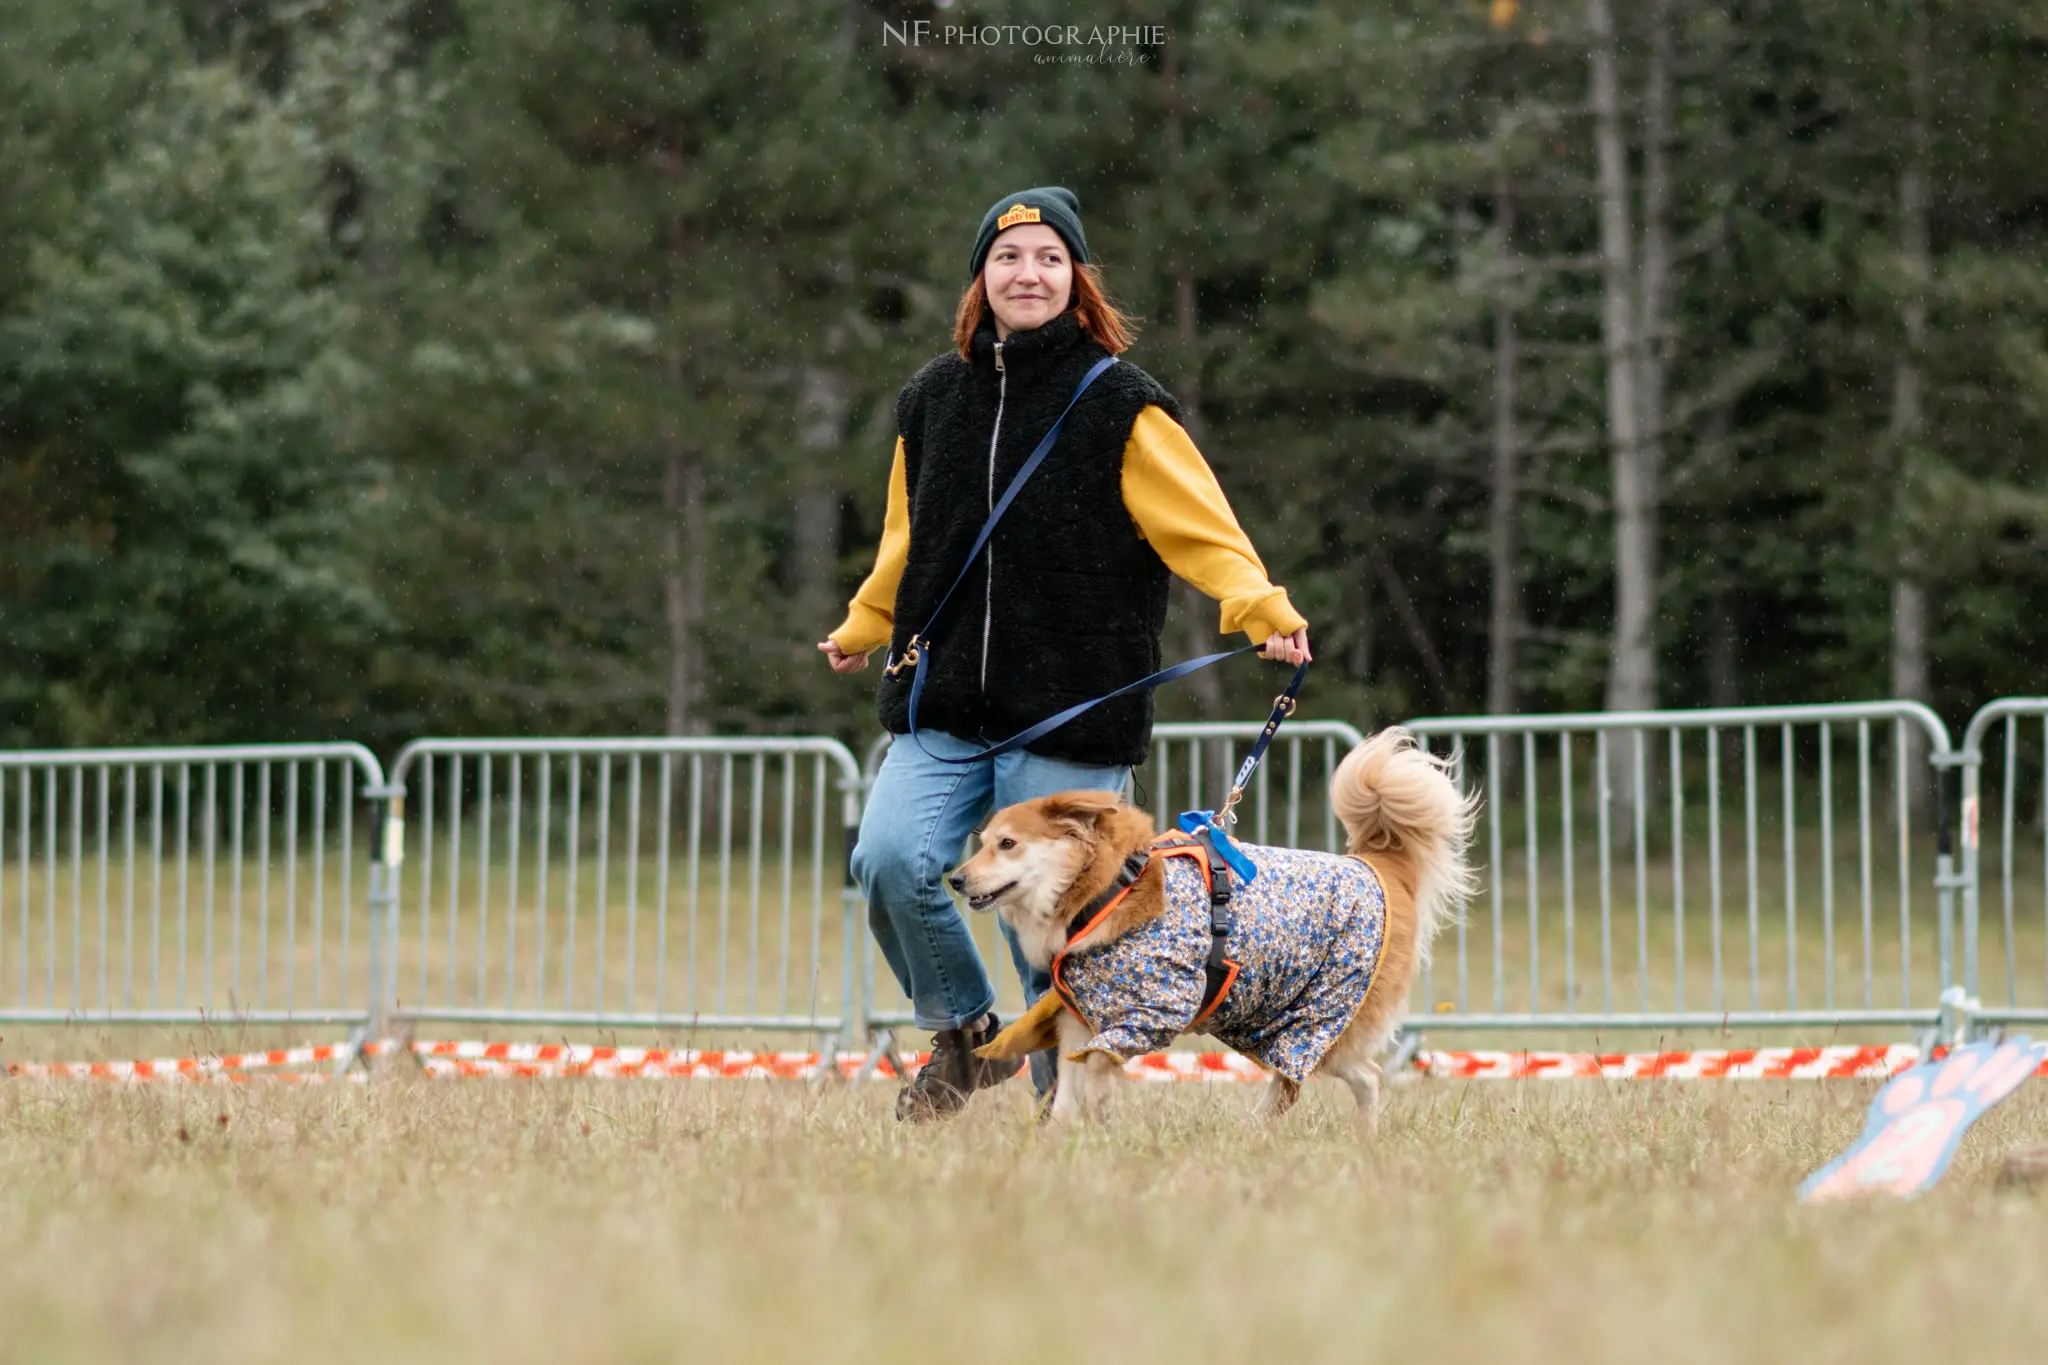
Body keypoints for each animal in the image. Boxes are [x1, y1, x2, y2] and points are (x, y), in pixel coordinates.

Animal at [950, 732, 1482, 1129]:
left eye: (1007, 844)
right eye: (983, 842)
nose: (954, 879)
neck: (1108, 890)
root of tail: (1373, 866)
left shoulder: (1150, 1011)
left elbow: (1097, 1067)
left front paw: (1100, 1119)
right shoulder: (1079, 1014)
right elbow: (1066, 1085)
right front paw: (1061, 1140)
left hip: (1321, 1011)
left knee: (1335, 1076)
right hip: (1267, 1016)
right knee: (1346, 1075)